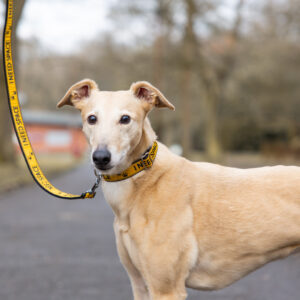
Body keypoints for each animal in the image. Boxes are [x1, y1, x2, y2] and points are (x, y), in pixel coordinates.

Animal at [57, 79, 300, 300]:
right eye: (92, 118)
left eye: (125, 119)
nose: (101, 158)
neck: (144, 180)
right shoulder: (139, 284)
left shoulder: (166, 289)